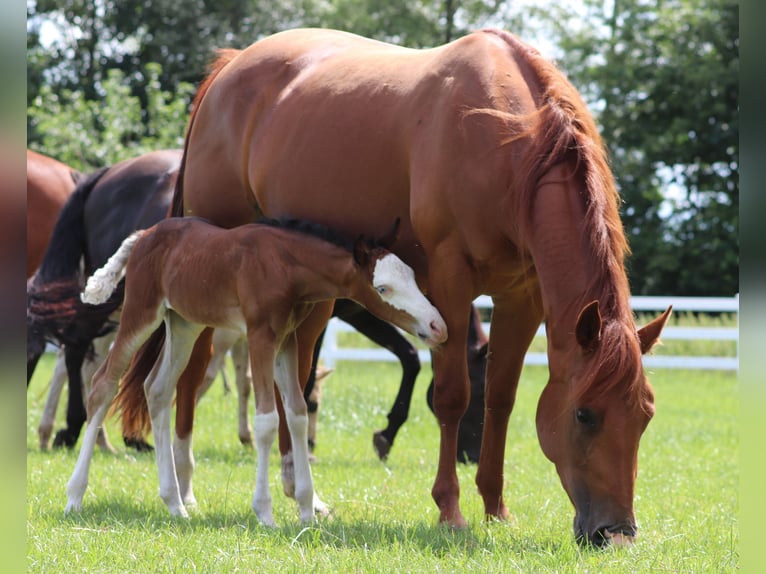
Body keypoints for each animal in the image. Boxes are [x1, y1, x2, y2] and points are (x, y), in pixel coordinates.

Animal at [66, 216, 447, 525]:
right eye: (383, 288)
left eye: (414, 278)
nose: (438, 326)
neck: (285, 265)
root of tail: (145, 234)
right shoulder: (261, 336)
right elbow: (267, 419)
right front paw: (265, 512)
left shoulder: (287, 341)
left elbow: (297, 413)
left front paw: (307, 510)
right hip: (141, 314)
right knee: (103, 384)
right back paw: (75, 496)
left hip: (184, 323)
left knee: (157, 389)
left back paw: (175, 504)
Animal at [124, 28, 671, 546]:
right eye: (584, 415)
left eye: (646, 414)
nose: (616, 533)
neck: (508, 142)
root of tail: (229, 67)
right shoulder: (449, 284)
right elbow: (451, 395)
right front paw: (450, 510)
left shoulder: (523, 296)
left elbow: (501, 396)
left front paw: (495, 507)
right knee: (191, 375)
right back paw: (185, 489)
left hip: (311, 299)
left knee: (292, 382)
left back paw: (302, 495)